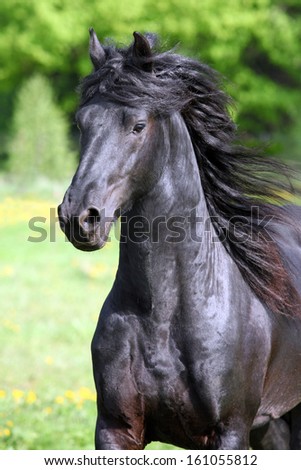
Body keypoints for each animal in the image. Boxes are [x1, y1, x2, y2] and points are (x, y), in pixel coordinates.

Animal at [57, 31, 300, 450]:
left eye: (138, 125)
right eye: (81, 122)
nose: (79, 218)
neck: (163, 316)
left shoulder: (230, 431)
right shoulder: (116, 429)